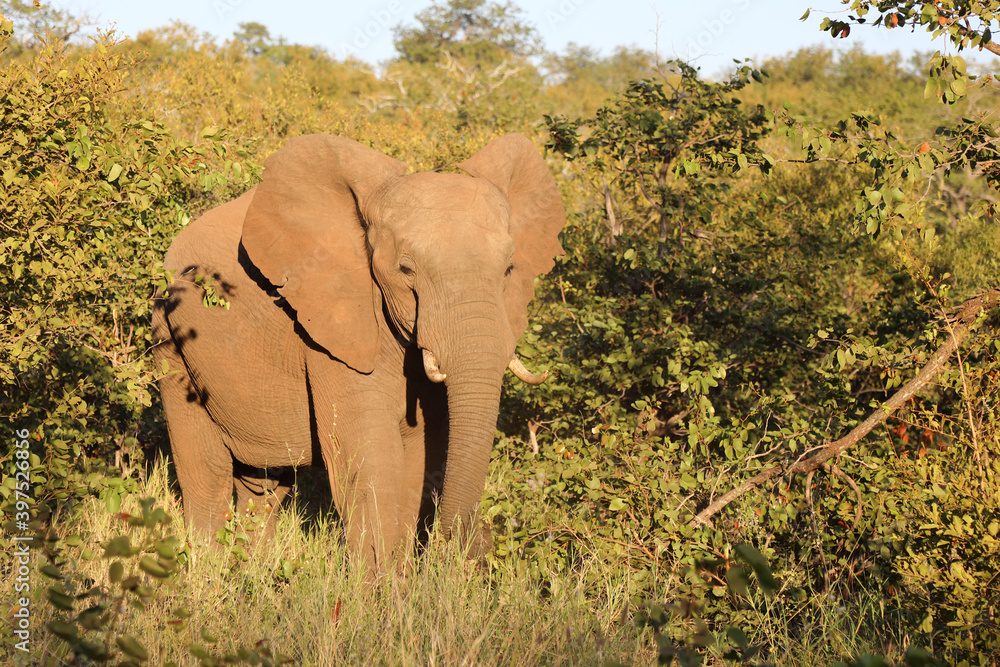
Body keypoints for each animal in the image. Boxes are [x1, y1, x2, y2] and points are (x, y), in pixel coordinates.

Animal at [152, 133, 565, 573]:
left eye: (508, 270)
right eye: (405, 270)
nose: (483, 541)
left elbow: (422, 458)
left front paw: (401, 583)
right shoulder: (330, 329)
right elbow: (372, 457)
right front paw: (381, 589)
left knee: (263, 483)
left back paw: (253, 571)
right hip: (171, 339)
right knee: (206, 471)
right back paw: (207, 573)